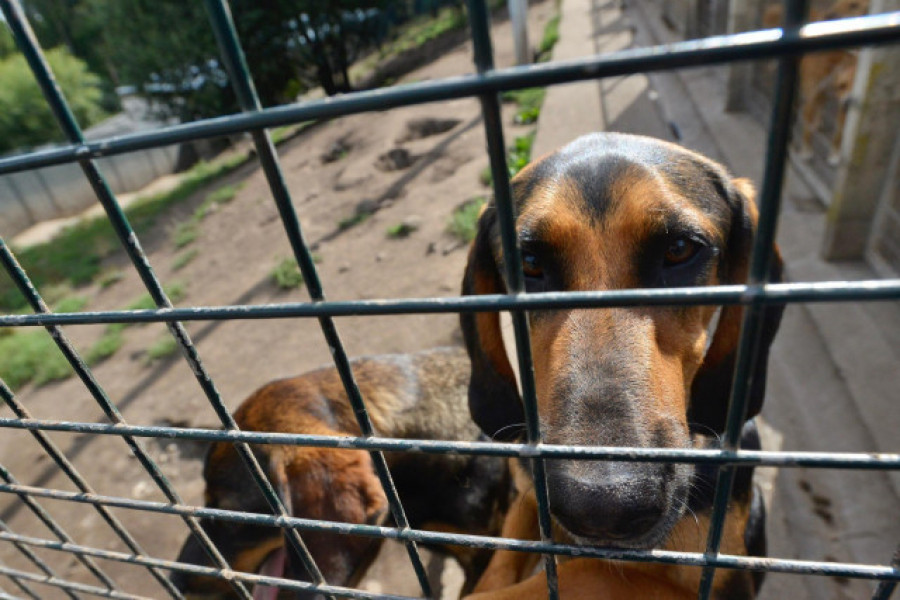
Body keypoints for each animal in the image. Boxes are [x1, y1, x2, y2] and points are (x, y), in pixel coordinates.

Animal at [460, 134, 784, 596]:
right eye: (529, 264)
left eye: (679, 250)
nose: (602, 508)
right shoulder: (528, 497)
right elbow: (508, 559)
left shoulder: (718, 580)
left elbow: (586, 571)